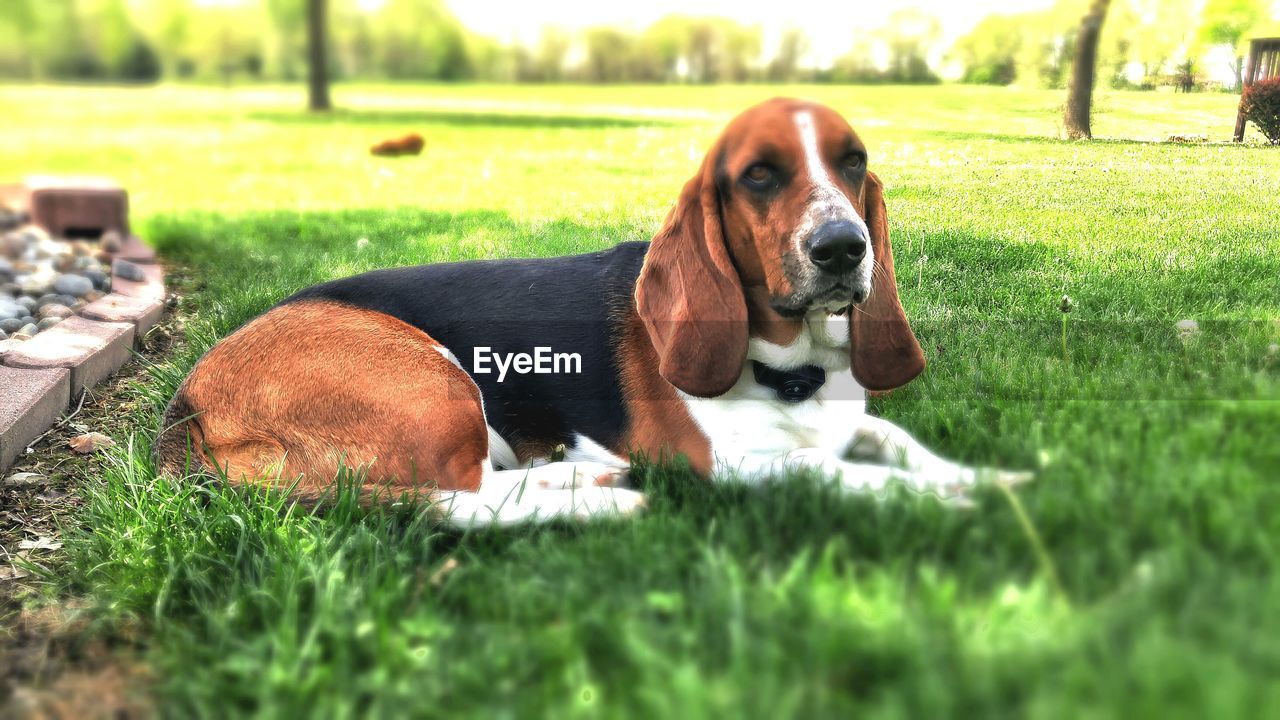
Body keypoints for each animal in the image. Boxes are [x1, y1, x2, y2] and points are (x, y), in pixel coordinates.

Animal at [157, 98, 1029, 525]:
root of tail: (186, 407)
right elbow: (836, 471)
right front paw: (946, 499)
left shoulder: (852, 422)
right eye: (758, 175)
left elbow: (898, 442)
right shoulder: (730, 463)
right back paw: (589, 493)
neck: (795, 369)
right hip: (431, 379)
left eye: (853, 163)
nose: (845, 248)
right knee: (460, 496)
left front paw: (992, 476)